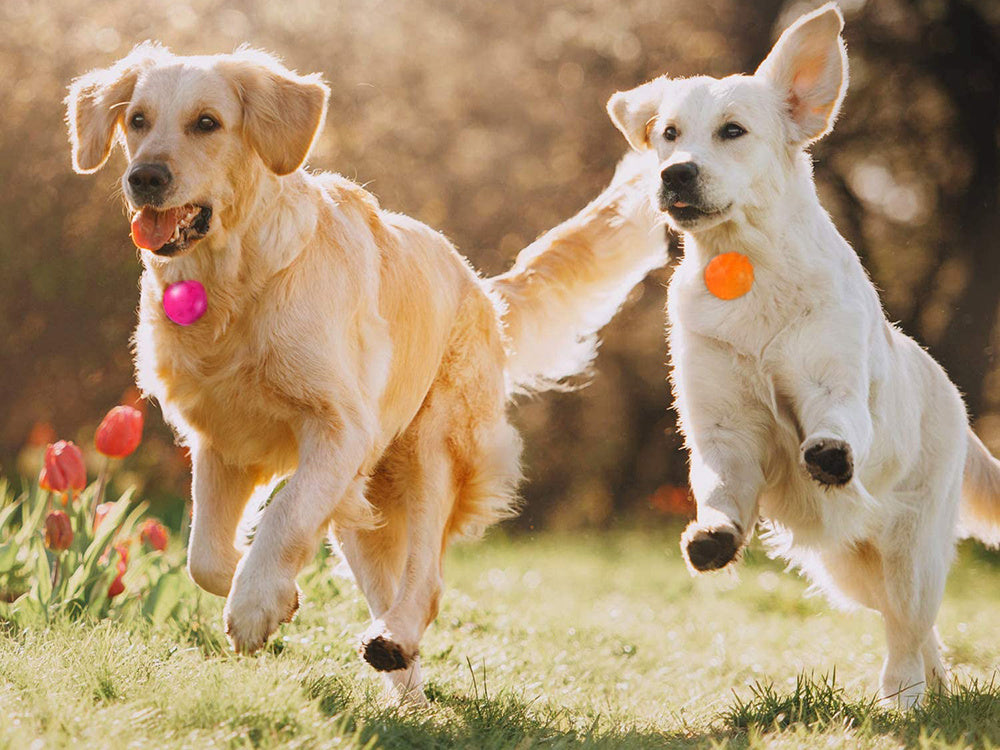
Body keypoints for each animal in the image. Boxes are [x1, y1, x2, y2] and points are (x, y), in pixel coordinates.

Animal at [68, 42, 664, 700]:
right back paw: (405, 692)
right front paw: (276, 596)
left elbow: (284, 514)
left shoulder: (339, 428)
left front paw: (255, 605)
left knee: (427, 583)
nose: (145, 177)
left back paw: (393, 639)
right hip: (363, 510)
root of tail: (481, 286)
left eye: (207, 123)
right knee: (391, 593)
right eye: (138, 120)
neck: (237, 278)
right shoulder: (223, 443)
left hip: (431, 449)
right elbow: (205, 557)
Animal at [604, 2, 1000, 708]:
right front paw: (713, 536)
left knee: (907, 627)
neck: (747, 268)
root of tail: (952, 393)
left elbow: (835, 422)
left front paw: (828, 452)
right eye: (669, 134)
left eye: (733, 130)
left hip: (911, 549)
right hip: (849, 567)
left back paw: (905, 699)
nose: (675, 173)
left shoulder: (832, 383)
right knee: (913, 627)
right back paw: (936, 685)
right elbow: (718, 483)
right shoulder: (721, 426)